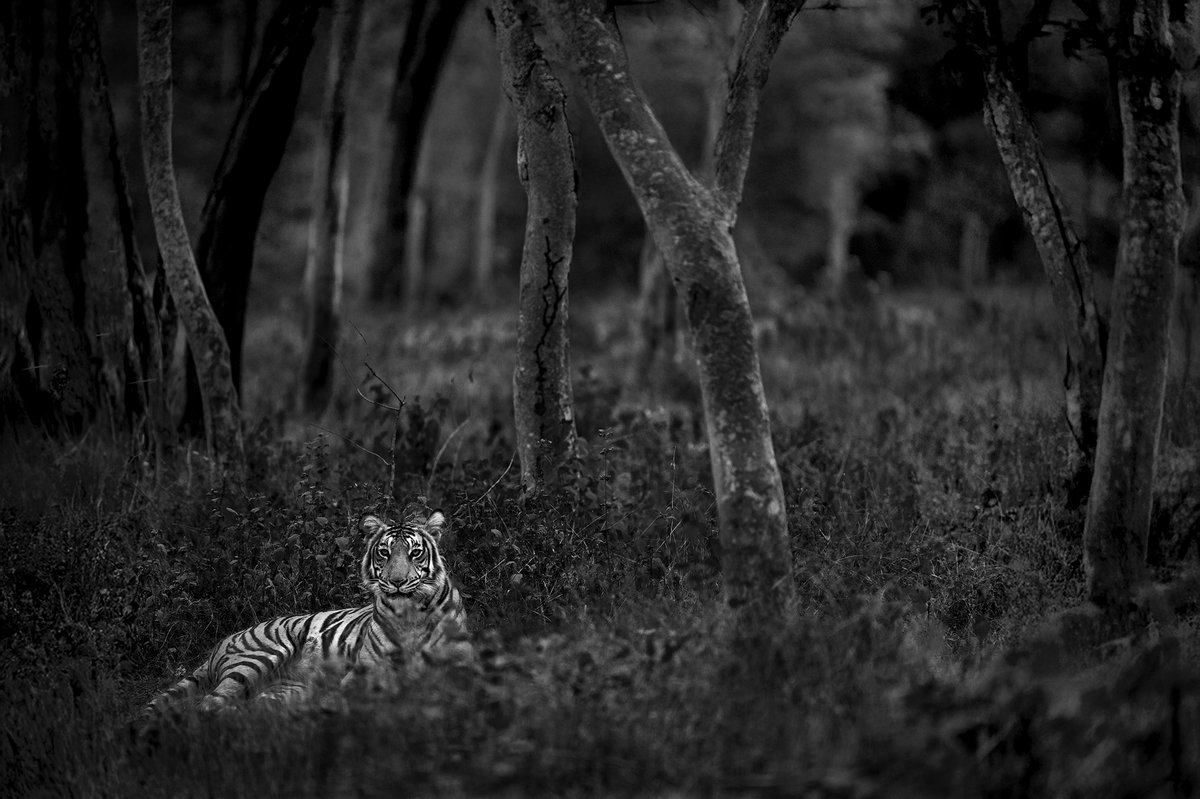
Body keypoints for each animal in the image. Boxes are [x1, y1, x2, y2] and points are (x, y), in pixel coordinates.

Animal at [142, 510, 473, 715]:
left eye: (415, 553)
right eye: (384, 553)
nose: (397, 581)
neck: (411, 615)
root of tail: (219, 645)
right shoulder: (364, 670)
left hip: (283, 690)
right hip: (258, 656)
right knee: (208, 707)